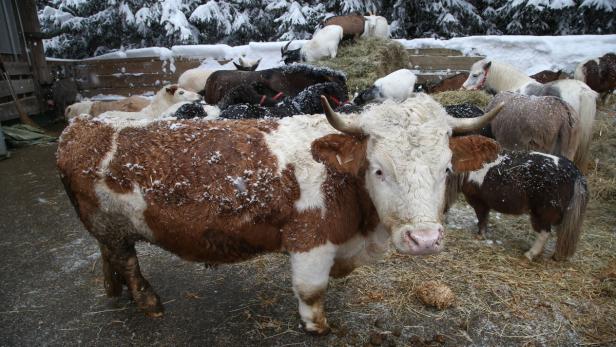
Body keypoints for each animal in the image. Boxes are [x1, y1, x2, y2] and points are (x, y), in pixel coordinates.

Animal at [56, 94, 500, 336]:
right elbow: (311, 291)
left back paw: (114, 290)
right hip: (110, 225)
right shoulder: (310, 241)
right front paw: (318, 327)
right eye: (378, 169)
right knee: (127, 260)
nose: (424, 240)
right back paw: (148, 301)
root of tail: (84, 125)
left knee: (111, 256)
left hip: (107, 227)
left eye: (446, 168)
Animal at [446, 149, 584, 260]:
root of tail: (575, 173)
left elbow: (482, 219)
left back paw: (530, 254)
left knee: (544, 234)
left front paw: (480, 235)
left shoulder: (479, 202)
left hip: (541, 214)